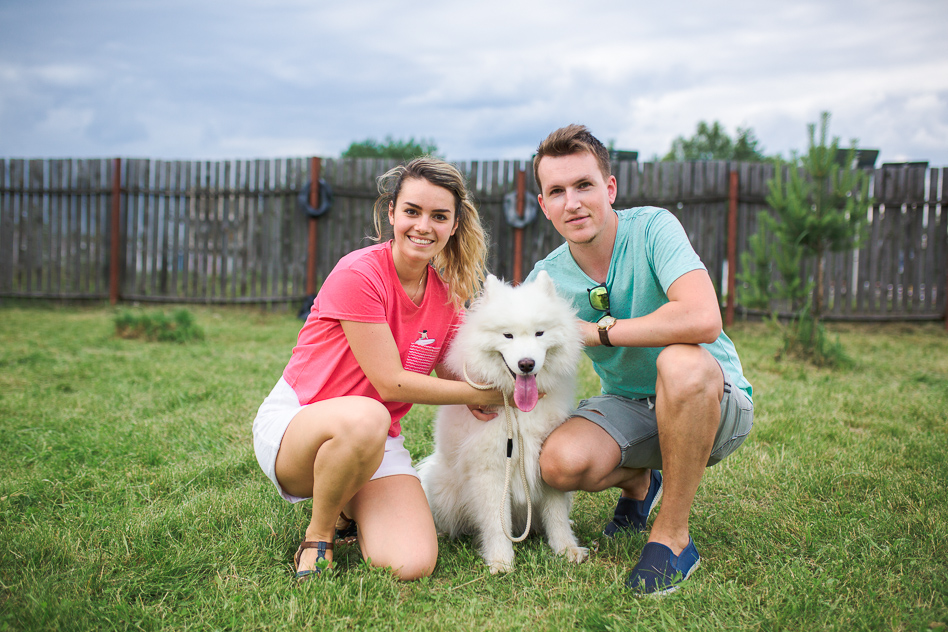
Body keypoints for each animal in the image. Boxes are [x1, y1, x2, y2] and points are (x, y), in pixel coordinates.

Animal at [417, 271, 588, 574]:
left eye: (540, 333)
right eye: (507, 335)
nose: (526, 364)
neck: (519, 410)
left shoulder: (545, 465)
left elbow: (555, 514)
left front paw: (566, 549)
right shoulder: (491, 469)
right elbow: (497, 522)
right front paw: (501, 561)